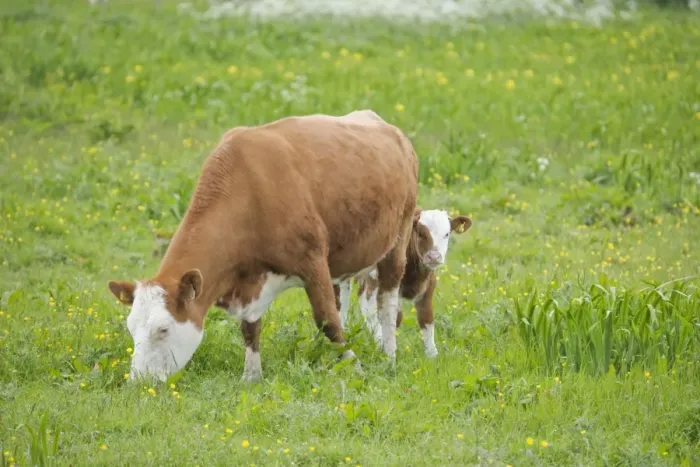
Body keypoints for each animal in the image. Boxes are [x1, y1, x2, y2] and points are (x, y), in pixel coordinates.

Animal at [107, 110, 419, 382]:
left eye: (163, 329)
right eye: (131, 328)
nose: (138, 381)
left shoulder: (313, 261)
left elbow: (327, 320)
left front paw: (355, 368)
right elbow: (249, 327)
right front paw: (251, 375)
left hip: (398, 238)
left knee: (387, 303)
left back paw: (389, 355)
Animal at [336, 208, 471, 358]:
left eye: (447, 234)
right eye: (420, 233)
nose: (434, 256)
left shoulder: (429, 285)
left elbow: (427, 318)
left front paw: (432, 355)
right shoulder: (390, 283)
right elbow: (395, 317)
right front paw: (388, 348)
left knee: (364, 299)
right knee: (346, 302)